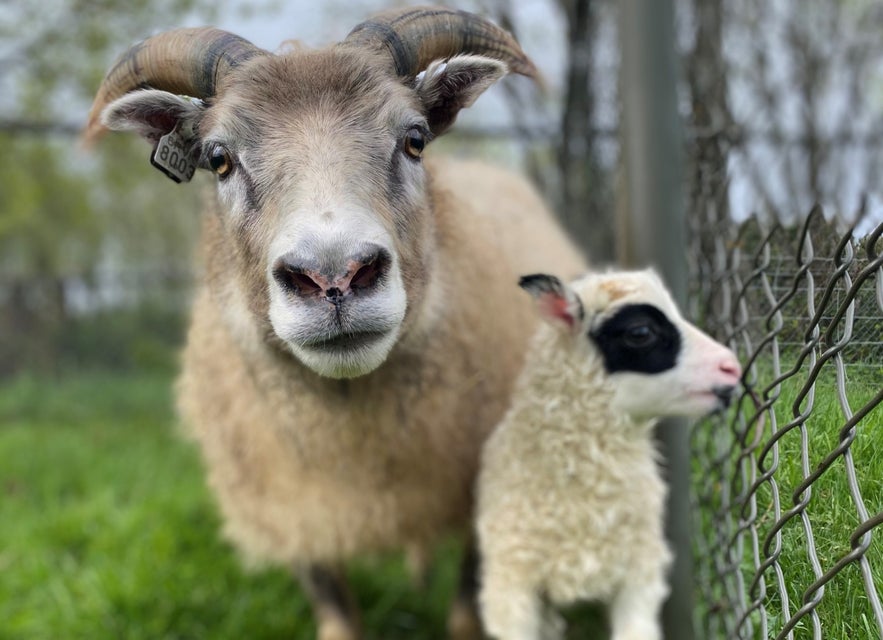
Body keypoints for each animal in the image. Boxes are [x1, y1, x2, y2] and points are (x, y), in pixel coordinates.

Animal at [84, 5, 588, 640]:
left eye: (415, 140)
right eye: (218, 159)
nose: (334, 277)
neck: (351, 439)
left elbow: (466, 613)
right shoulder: (298, 510)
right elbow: (337, 614)